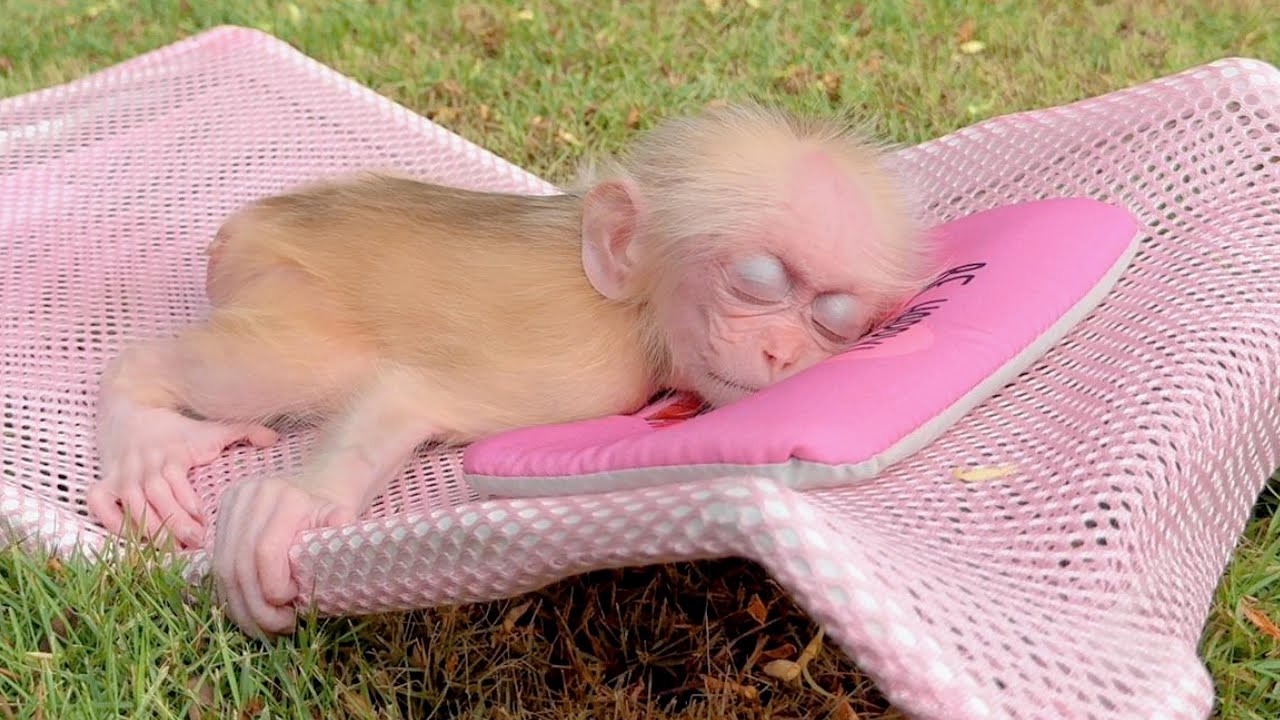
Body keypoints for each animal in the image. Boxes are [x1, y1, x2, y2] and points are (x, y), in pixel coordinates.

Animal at [87, 103, 930, 637]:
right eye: (755, 284)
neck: (636, 308)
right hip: (281, 288)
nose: (783, 353)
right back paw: (142, 416)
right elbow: (409, 393)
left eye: (834, 323)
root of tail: (242, 229)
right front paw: (300, 504)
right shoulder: (596, 368)